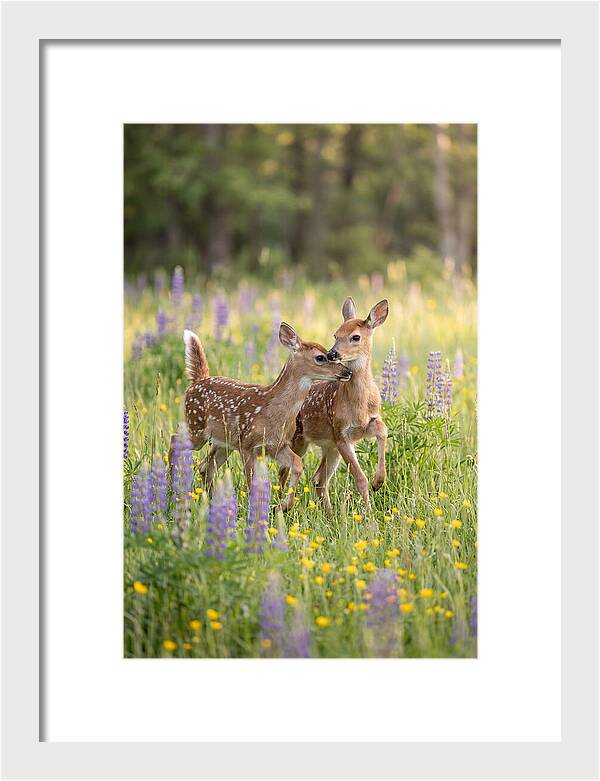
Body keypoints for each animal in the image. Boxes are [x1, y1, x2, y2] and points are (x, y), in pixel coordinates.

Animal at [173, 322, 352, 511]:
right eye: (320, 357)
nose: (347, 371)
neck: (272, 411)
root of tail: (197, 381)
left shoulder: (277, 445)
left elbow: (297, 464)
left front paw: (283, 506)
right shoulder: (247, 445)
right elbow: (252, 483)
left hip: (223, 443)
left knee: (204, 467)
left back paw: (211, 502)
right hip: (196, 427)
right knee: (175, 439)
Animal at [280, 297, 389, 513]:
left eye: (355, 337)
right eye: (335, 334)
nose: (332, 353)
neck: (360, 405)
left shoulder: (368, 423)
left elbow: (383, 431)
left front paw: (378, 481)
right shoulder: (341, 434)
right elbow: (360, 478)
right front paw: (369, 514)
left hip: (329, 447)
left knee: (319, 480)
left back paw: (329, 514)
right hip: (299, 440)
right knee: (285, 472)